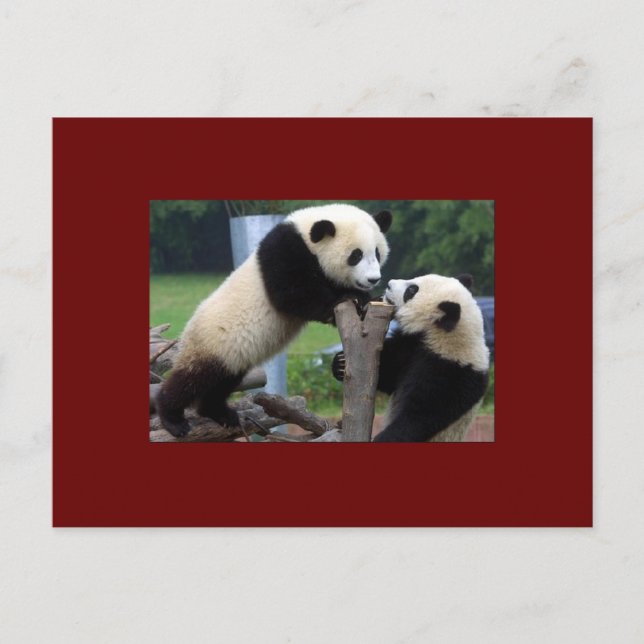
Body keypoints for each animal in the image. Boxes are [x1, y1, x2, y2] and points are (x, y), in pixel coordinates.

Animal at [157, 203, 392, 437]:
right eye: (356, 255)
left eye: (377, 252)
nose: (373, 279)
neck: (306, 236)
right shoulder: (285, 251)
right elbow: (290, 293)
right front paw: (348, 299)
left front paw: (367, 300)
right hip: (212, 340)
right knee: (190, 380)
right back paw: (172, 418)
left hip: (232, 356)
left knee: (223, 380)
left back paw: (219, 413)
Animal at [332, 273, 489, 442]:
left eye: (411, 291)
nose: (388, 284)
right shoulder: (411, 345)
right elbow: (388, 373)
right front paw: (340, 363)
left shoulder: (452, 375)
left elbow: (421, 417)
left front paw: (384, 438)